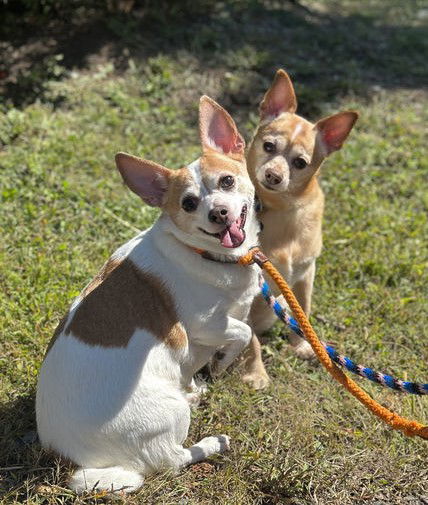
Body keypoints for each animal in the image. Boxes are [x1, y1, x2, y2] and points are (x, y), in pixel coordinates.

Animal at [35, 95, 260, 492]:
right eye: (188, 204)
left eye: (227, 180)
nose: (218, 212)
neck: (207, 255)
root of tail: (71, 459)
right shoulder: (205, 325)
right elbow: (243, 332)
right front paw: (221, 363)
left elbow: (214, 350)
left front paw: (200, 379)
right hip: (168, 415)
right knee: (171, 460)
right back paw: (211, 443)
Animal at [241, 69, 358, 388]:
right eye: (268, 146)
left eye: (300, 163)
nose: (273, 175)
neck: (282, 209)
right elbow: (251, 339)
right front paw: (255, 373)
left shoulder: (306, 274)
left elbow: (303, 311)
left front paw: (304, 345)